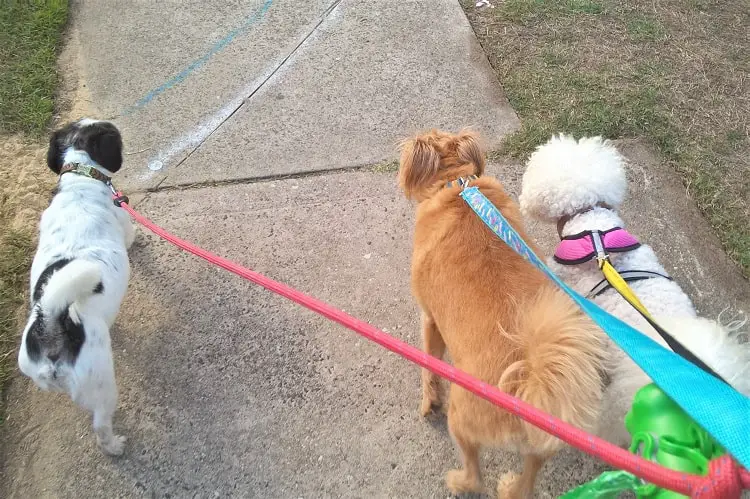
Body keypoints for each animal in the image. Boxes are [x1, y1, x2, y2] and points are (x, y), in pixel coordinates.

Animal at [17, 119, 134, 456]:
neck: (80, 178)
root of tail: (51, 325)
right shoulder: (126, 223)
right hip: (103, 383)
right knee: (101, 426)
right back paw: (115, 445)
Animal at [400, 130, 604, 499]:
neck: (456, 182)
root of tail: (528, 384)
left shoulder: (429, 319)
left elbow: (428, 366)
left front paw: (429, 402)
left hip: (461, 418)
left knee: (474, 475)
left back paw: (459, 481)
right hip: (539, 446)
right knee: (527, 480)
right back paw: (511, 487)